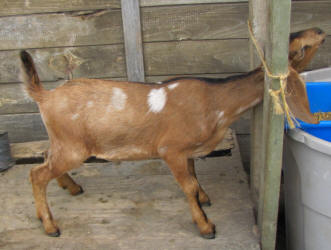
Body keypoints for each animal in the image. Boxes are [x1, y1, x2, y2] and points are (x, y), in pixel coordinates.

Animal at [19, 27, 326, 238]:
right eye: (299, 43)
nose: (321, 30)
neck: (217, 102)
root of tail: (45, 96)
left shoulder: (187, 151)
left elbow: (194, 176)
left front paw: (204, 198)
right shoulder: (171, 149)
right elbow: (187, 185)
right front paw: (205, 226)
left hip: (62, 143)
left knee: (45, 157)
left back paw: (69, 188)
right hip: (74, 147)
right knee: (36, 174)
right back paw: (50, 225)